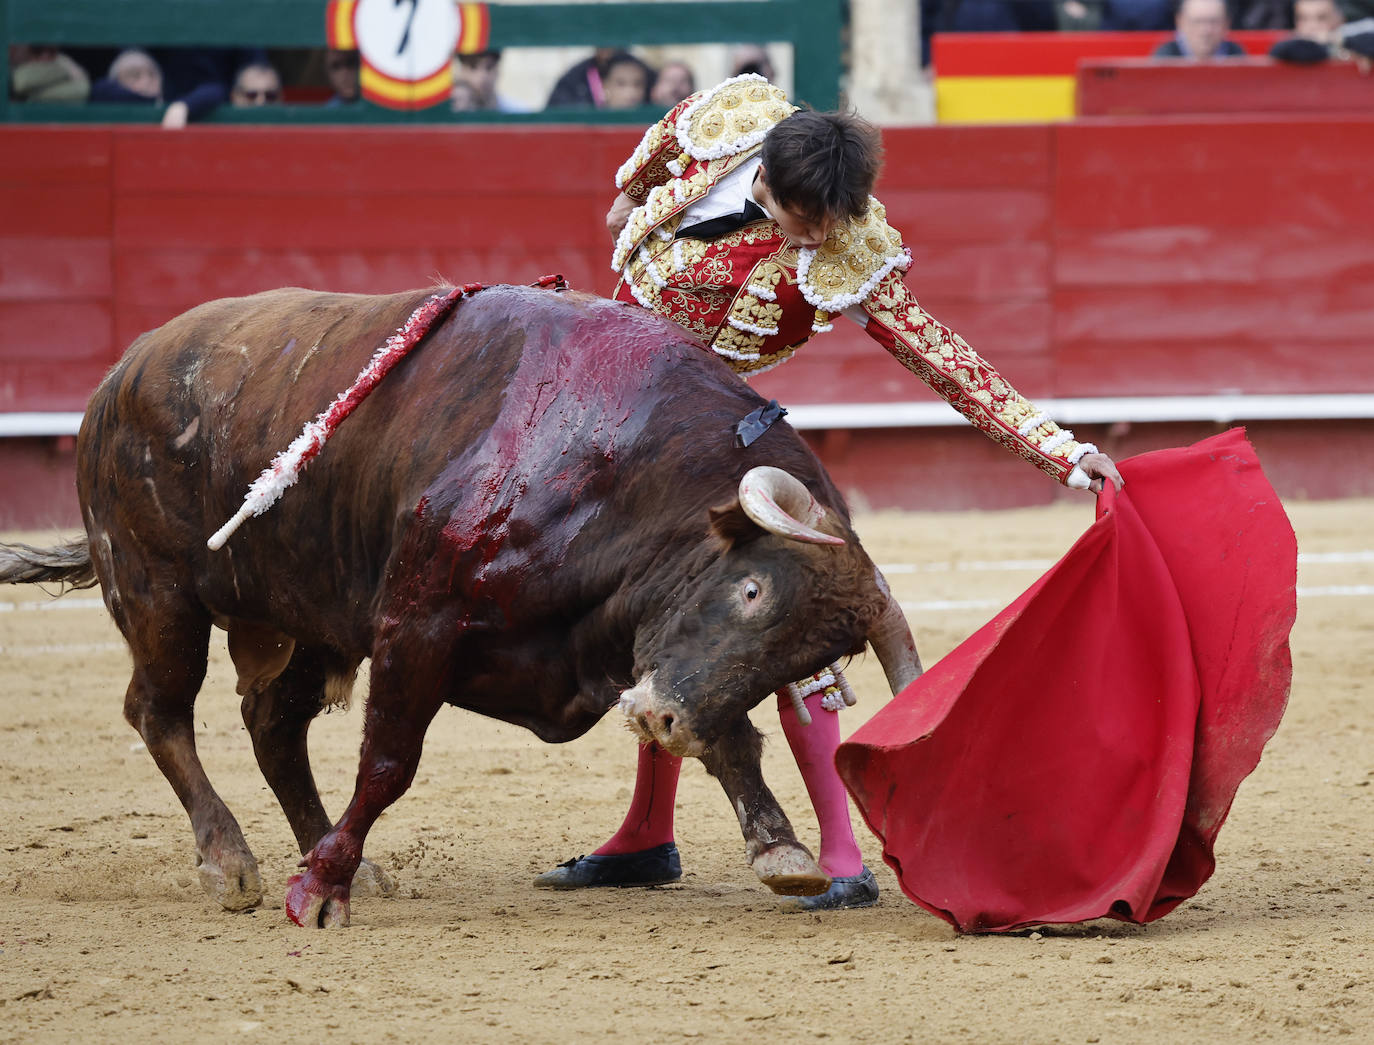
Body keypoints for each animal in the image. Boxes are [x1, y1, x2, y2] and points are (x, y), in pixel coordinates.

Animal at [2, 281, 923, 922]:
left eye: (806, 657)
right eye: (752, 587)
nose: (667, 722)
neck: (615, 470)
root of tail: (127, 366)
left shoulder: (653, 654)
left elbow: (733, 734)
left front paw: (782, 848)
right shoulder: (416, 622)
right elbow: (388, 761)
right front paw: (320, 894)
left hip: (306, 622)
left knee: (271, 727)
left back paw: (327, 852)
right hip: (156, 592)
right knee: (159, 711)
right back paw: (233, 862)